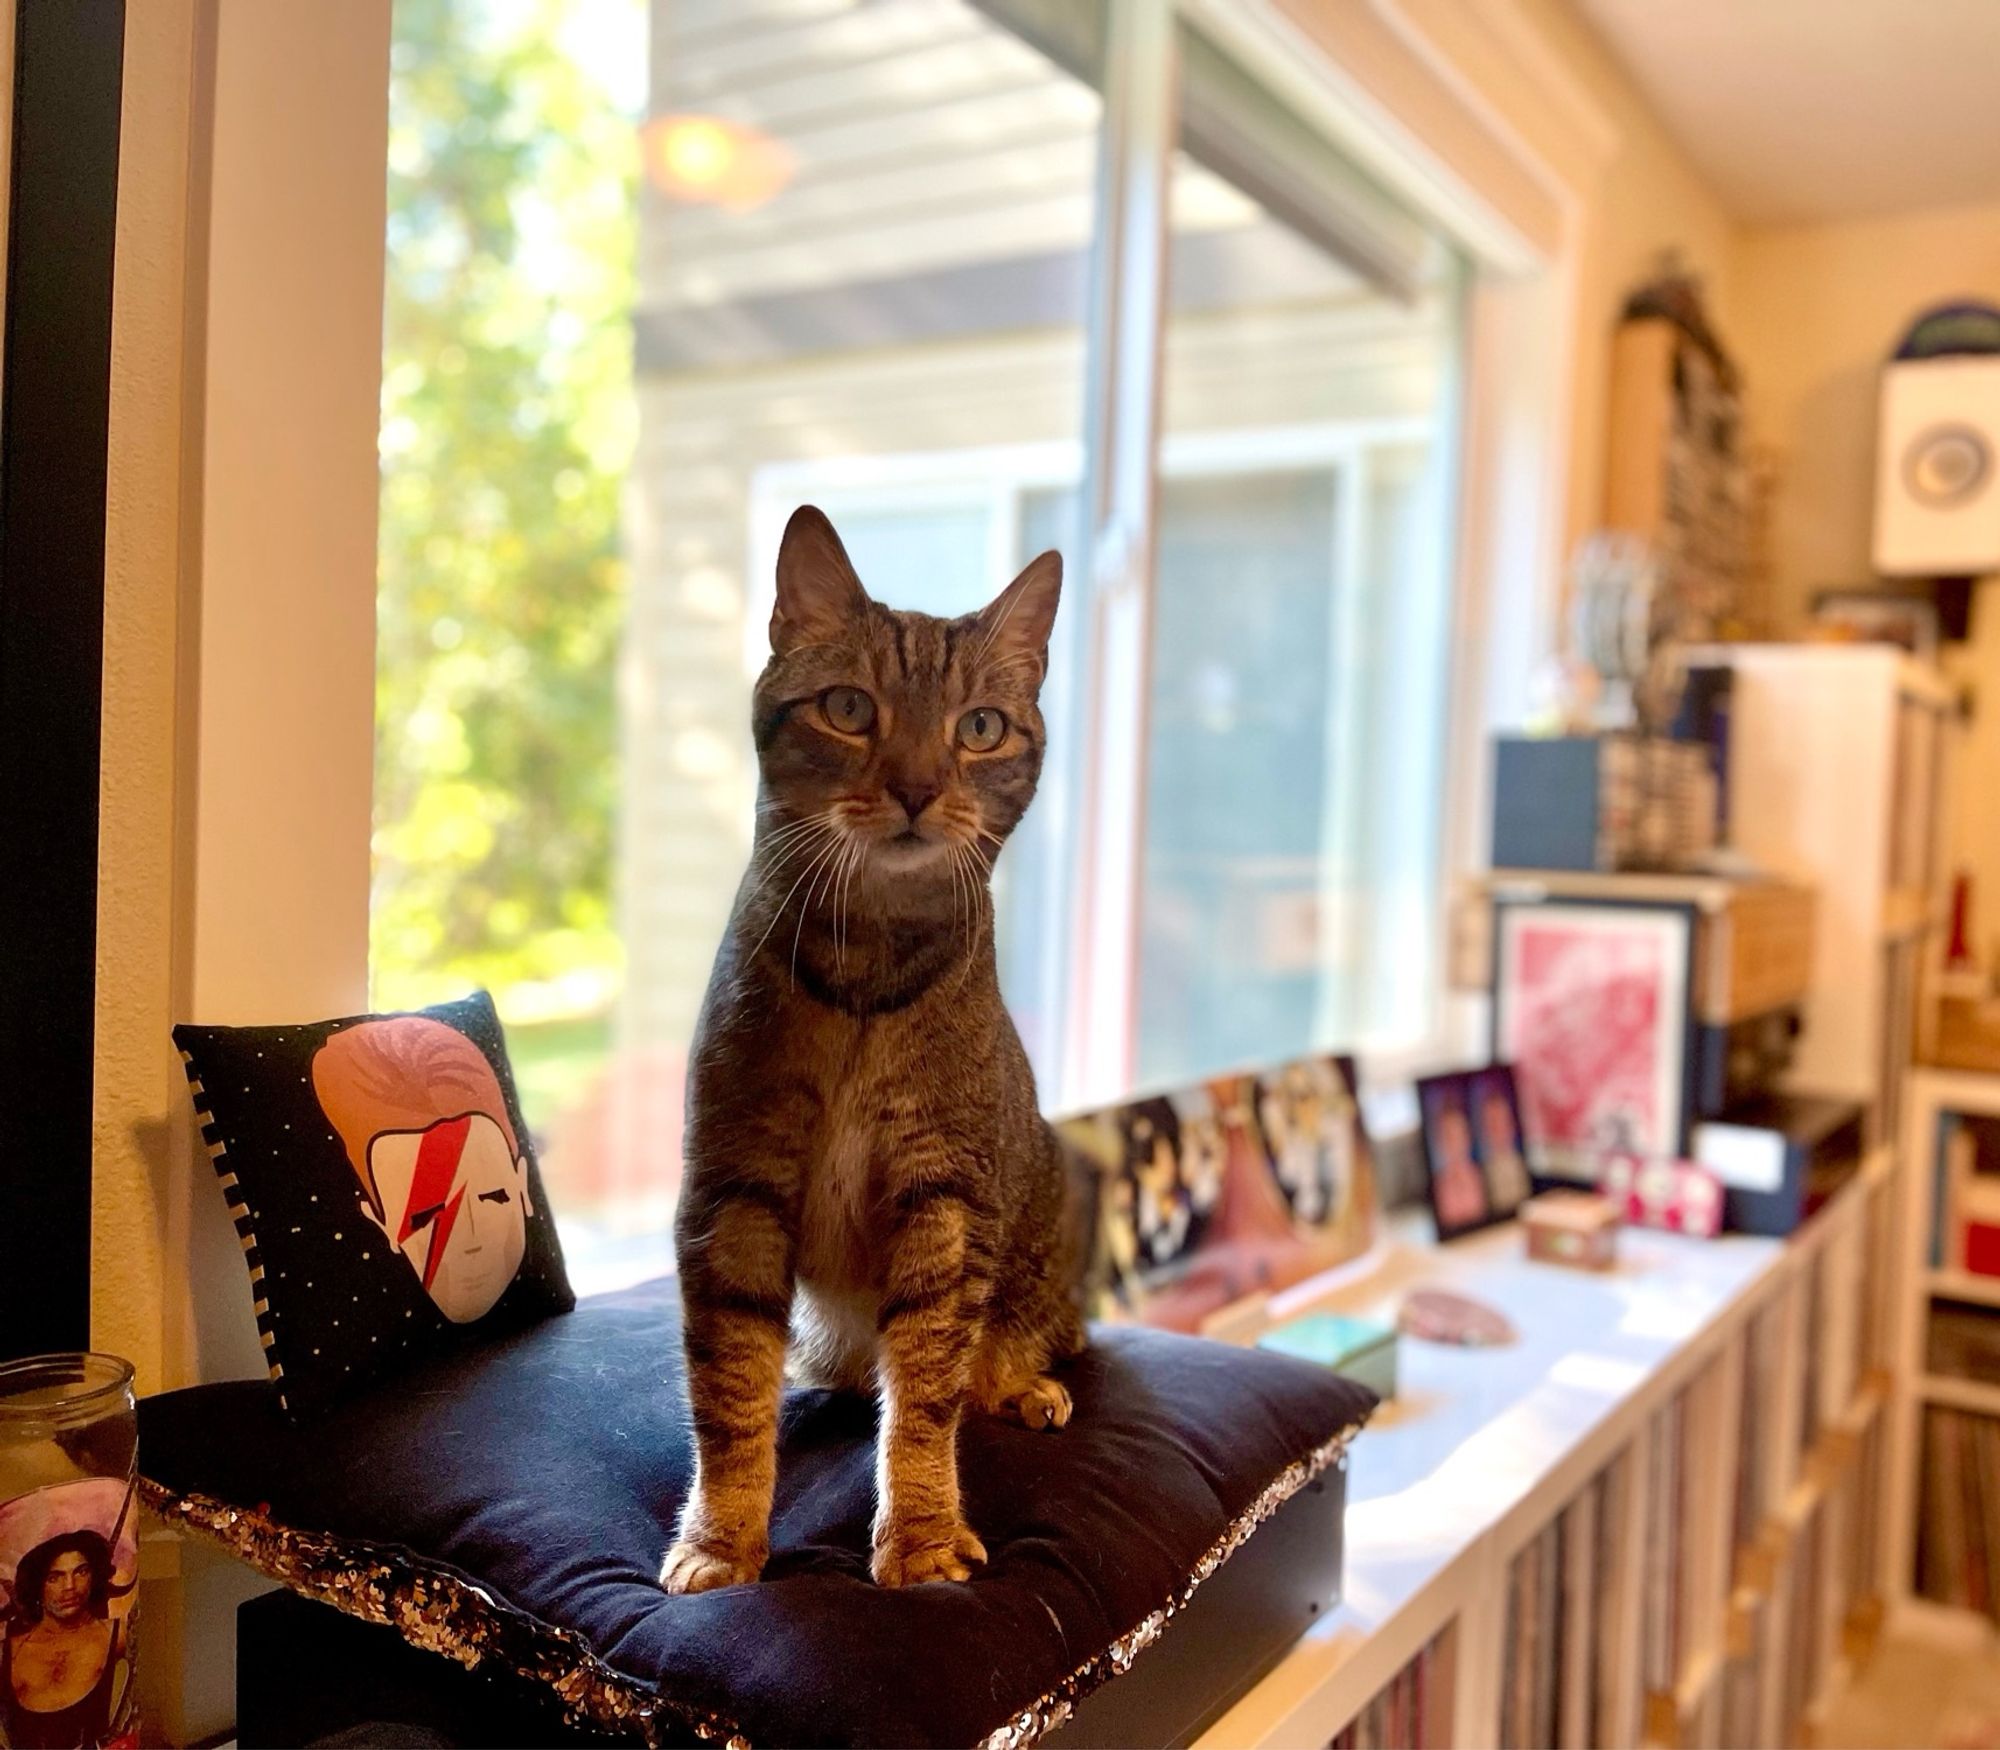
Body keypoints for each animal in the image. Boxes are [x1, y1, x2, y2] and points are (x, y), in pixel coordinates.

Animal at [664, 500, 1088, 1592]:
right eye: (849, 709)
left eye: (979, 727)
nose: (915, 788)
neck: (866, 968)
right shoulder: (734, 1190)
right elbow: (728, 1394)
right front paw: (720, 1539)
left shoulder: (946, 1202)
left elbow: (926, 1396)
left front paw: (923, 1533)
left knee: (996, 1359)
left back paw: (1023, 1385)